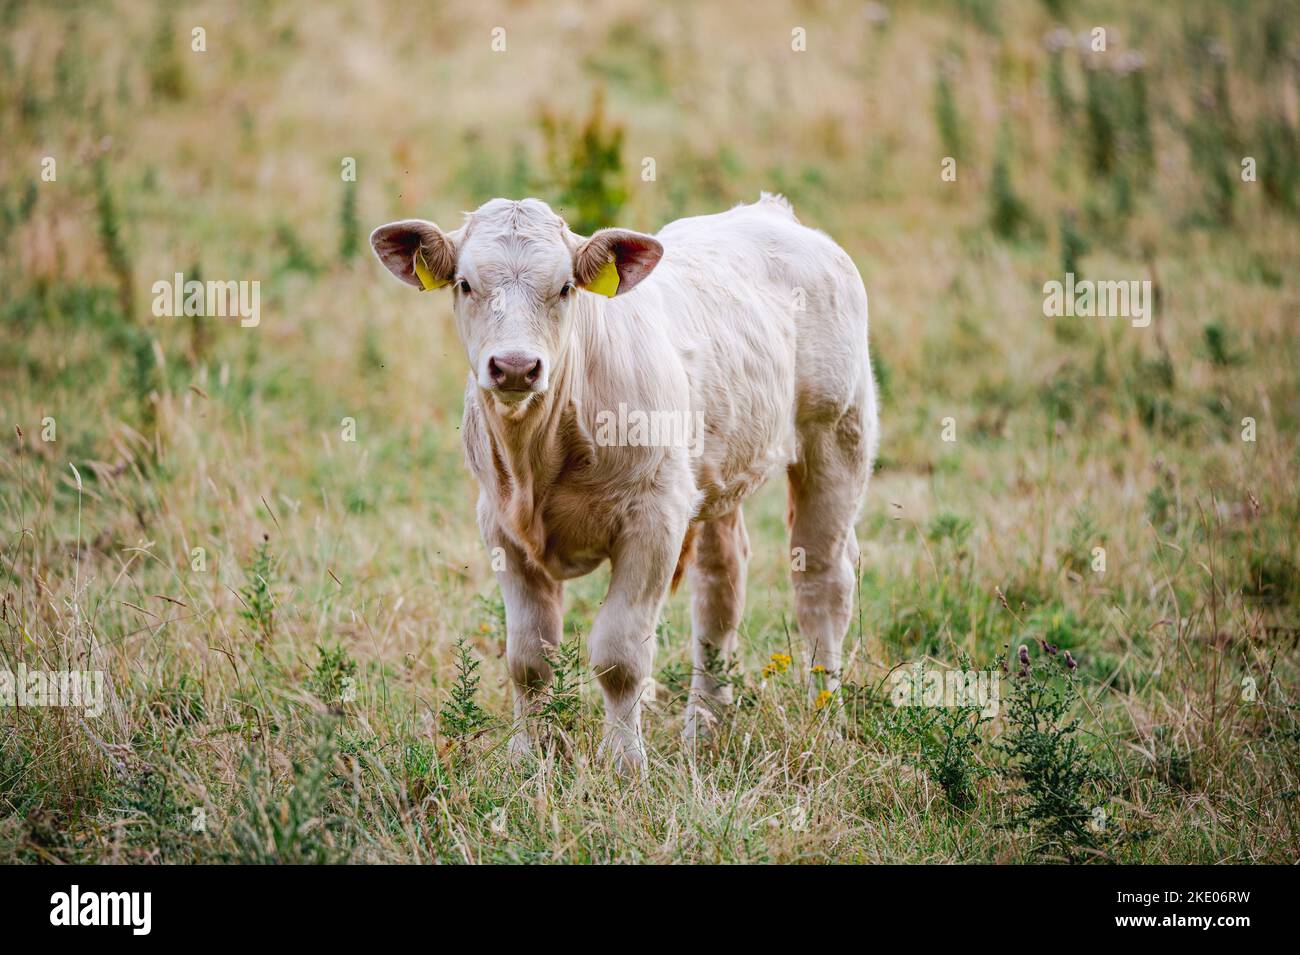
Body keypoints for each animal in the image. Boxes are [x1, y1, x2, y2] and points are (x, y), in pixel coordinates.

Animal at [371, 194, 878, 775]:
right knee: (721, 586)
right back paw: (705, 726)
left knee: (822, 582)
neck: (538, 457)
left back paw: (825, 721)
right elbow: (528, 658)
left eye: (565, 288)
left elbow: (619, 656)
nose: (516, 367)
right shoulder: (500, 527)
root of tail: (772, 213)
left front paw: (624, 764)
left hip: (838, 436)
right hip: (716, 473)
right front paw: (527, 759)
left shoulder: (654, 520)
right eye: (465, 284)